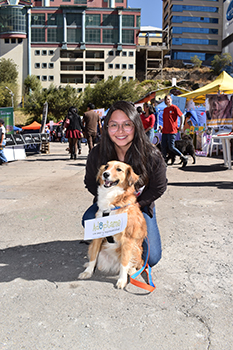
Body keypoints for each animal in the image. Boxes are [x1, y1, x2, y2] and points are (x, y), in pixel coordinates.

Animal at [79, 160, 147, 288]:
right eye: (106, 166)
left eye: (119, 169)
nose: (105, 174)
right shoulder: (97, 235)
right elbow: (93, 256)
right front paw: (88, 272)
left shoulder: (127, 240)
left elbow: (124, 263)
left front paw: (122, 280)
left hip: (136, 249)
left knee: (131, 264)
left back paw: (131, 271)